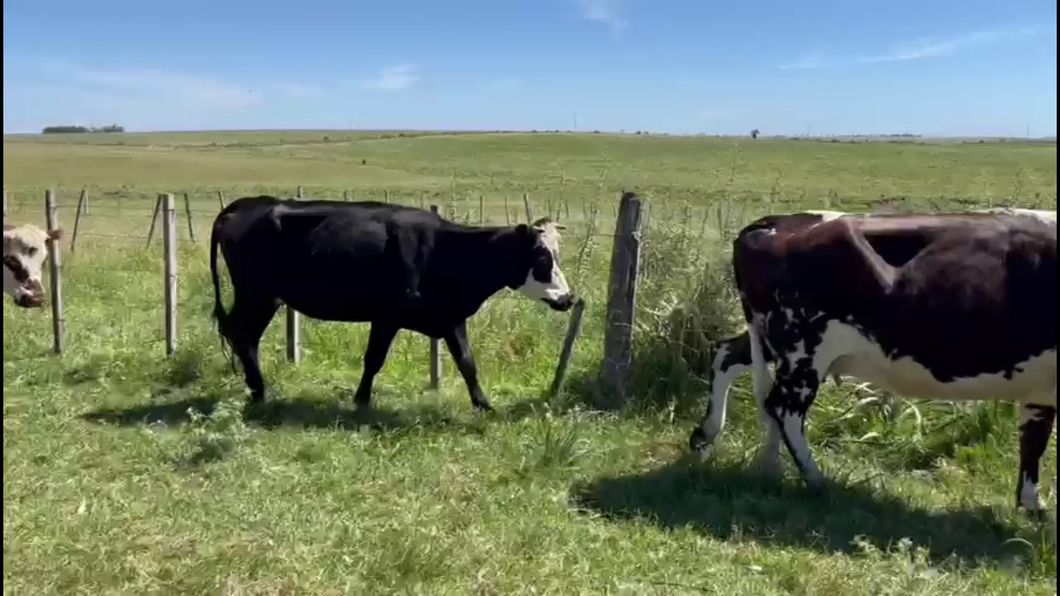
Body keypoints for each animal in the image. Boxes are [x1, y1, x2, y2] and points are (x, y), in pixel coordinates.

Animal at [209, 195, 576, 407]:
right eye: (542, 258)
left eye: (557, 254)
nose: (568, 298)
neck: (445, 252)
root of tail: (247, 204)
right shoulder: (386, 316)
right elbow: (374, 359)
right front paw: (361, 401)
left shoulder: (451, 318)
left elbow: (467, 362)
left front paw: (485, 406)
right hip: (256, 293)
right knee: (242, 334)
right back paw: (259, 391)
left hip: (265, 297)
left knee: (243, 336)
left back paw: (256, 389)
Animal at [686, 207, 1051, 511]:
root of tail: (773, 222)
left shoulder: (1041, 389)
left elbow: (1034, 441)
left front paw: (1031, 506)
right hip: (803, 347)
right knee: (783, 407)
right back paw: (817, 480)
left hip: (772, 340)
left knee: (727, 355)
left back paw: (713, 438)